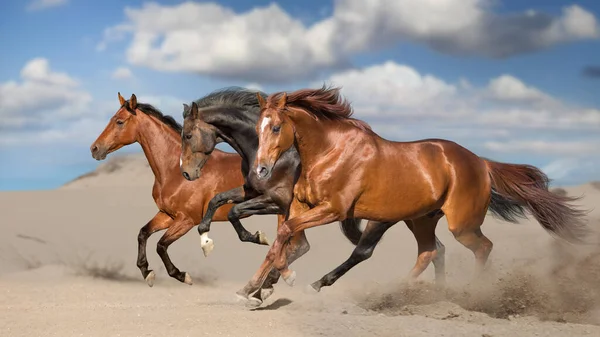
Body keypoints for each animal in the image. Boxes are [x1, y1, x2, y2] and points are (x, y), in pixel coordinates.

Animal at [89, 92, 260, 286]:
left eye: (119, 121)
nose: (94, 149)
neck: (174, 171)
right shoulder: (167, 215)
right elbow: (143, 233)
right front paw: (146, 271)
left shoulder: (187, 220)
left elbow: (161, 245)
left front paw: (181, 275)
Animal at [179, 86, 450, 304]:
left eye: (188, 135)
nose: (186, 173)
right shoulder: (254, 191)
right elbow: (218, 201)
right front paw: (207, 239)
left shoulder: (278, 201)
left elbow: (240, 215)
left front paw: (257, 242)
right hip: (416, 218)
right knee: (435, 249)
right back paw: (438, 293)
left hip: (384, 219)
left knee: (364, 251)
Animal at [237, 85, 588, 304]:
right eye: (256, 128)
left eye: (277, 127)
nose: (261, 170)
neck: (329, 152)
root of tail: (481, 163)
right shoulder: (299, 206)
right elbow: (281, 238)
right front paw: (251, 289)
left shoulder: (333, 210)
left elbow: (286, 233)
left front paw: (284, 278)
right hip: (421, 219)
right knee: (429, 252)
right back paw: (409, 291)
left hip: (461, 224)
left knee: (482, 247)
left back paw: (472, 293)